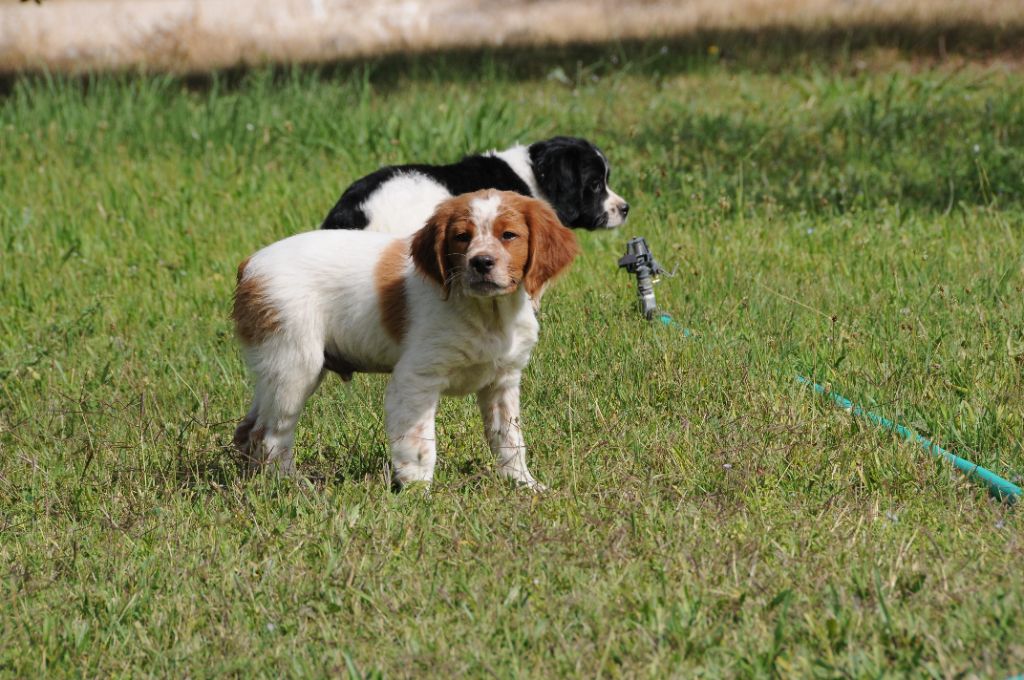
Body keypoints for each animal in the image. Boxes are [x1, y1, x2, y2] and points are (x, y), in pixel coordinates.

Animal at [234, 189, 581, 489]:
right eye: (462, 237)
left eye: (509, 235)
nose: (481, 262)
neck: (487, 314)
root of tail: (249, 264)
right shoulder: (416, 379)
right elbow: (419, 445)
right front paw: (418, 496)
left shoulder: (502, 382)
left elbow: (509, 440)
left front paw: (524, 485)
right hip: (294, 366)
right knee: (270, 435)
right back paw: (291, 486)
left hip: (279, 369)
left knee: (248, 430)